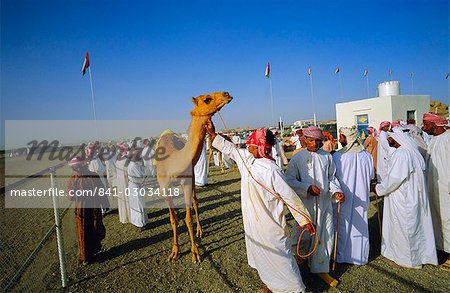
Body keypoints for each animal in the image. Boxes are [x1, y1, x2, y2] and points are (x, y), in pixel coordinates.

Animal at [156, 90, 232, 262]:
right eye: (207, 99)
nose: (227, 93)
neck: (172, 162)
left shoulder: (187, 182)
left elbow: (188, 219)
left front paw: (195, 253)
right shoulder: (164, 187)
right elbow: (173, 219)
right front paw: (174, 252)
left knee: (195, 202)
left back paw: (200, 231)